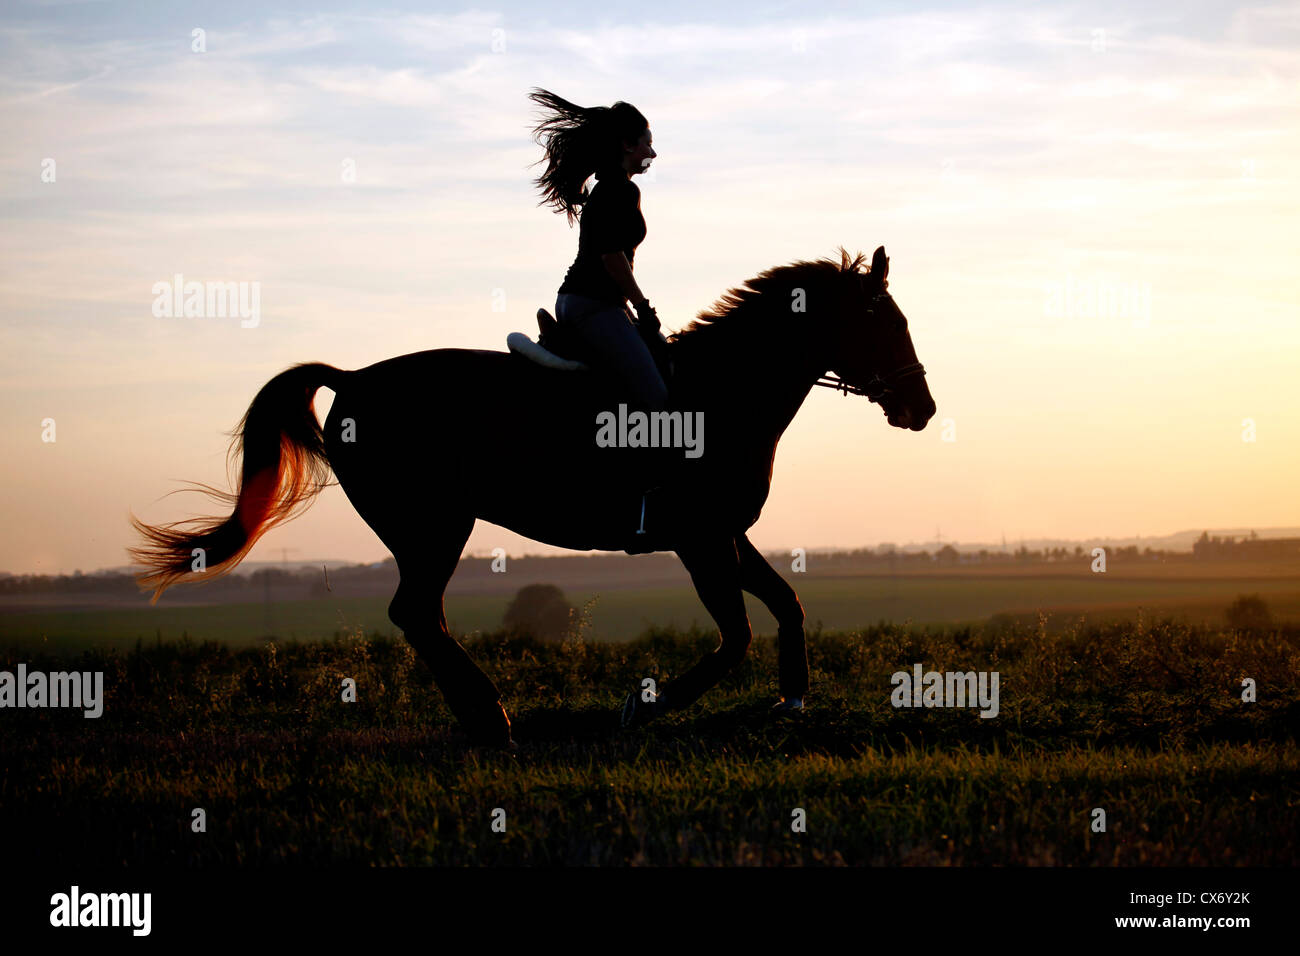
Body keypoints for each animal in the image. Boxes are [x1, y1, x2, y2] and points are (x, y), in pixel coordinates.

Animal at [131, 247, 935, 749]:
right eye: (885, 324)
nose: (922, 409)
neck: (723, 391)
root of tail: (354, 378)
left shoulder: (725, 534)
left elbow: (785, 604)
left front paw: (792, 700)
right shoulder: (698, 538)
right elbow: (735, 635)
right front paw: (640, 707)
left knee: (420, 615)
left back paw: (488, 719)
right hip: (435, 525)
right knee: (416, 612)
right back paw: (492, 720)